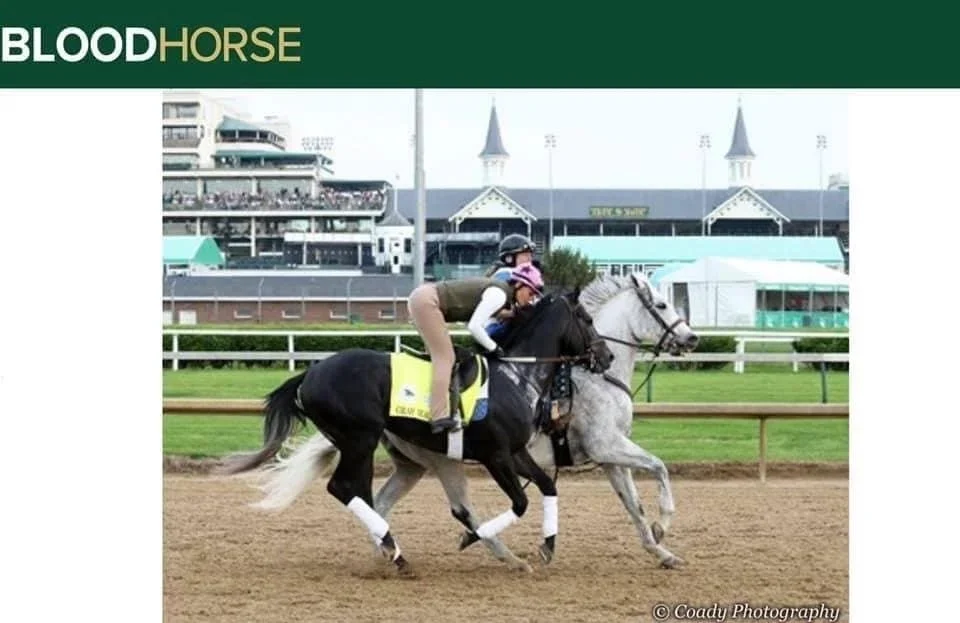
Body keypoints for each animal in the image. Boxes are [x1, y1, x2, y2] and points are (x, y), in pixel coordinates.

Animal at [219, 290, 614, 575]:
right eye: (587, 319)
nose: (607, 356)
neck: (516, 376)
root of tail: (308, 375)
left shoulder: (516, 453)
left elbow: (547, 486)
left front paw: (547, 545)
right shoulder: (496, 455)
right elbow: (520, 503)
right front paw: (471, 539)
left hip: (384, 450)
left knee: (369, 495)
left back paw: (389, 549)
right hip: (359, 439)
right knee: (343, 488)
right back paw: (396, 553)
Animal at [372, 272, 699, 569]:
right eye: (662, 304)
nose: (692, 337)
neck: (598, 378)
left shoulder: (610, 457)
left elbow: (634, 504)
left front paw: (662, 551)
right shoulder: (605, 445)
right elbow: (659, 466)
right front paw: (663, 524)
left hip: (413, 462)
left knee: (384, 502)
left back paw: (393, 552)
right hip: (442, 458)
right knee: (460, 508)